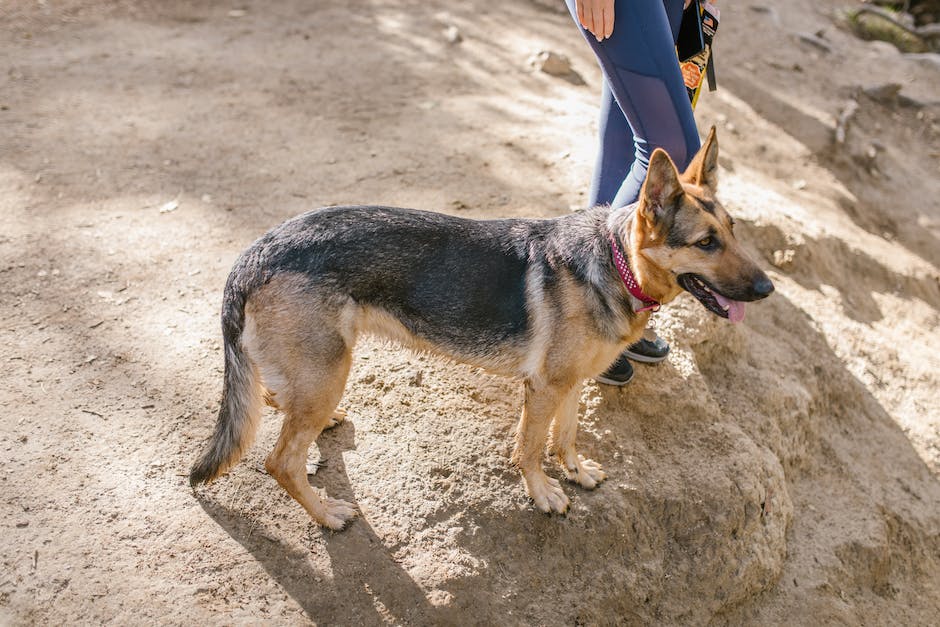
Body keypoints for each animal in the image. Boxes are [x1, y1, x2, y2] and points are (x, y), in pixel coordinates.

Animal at [189, 127, 772, 528]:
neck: (614, 261)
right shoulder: (542, 388)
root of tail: (254, 253)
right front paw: (542, 492)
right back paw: (328, 514)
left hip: (319, 370)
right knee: (280, 461)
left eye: (734, 231)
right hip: (329, 369)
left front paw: (576, 471)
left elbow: (567, 434)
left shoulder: (570, 384)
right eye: (705, 243)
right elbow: (531, 447)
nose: (767, 289)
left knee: (274, 401)